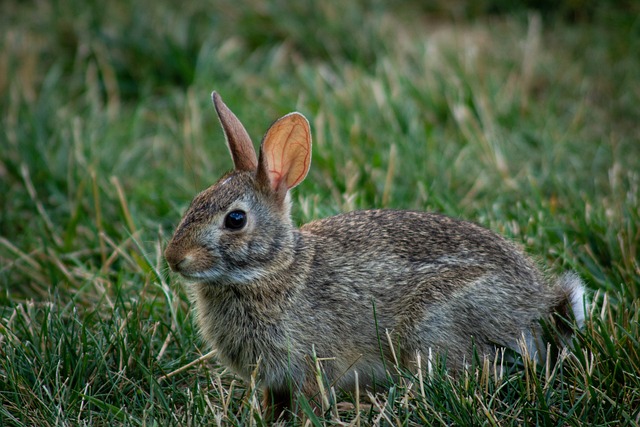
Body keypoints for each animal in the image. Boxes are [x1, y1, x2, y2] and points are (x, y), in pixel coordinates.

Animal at [164, 91, 584, 422]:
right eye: (196, 201)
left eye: (235, 220)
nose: (173, 258)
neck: (270, 270)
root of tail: (537, 303)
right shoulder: (275, 379)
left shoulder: (312, 363)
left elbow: (311, 400)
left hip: (436, 322)